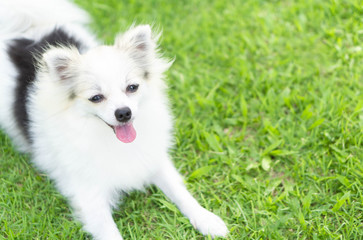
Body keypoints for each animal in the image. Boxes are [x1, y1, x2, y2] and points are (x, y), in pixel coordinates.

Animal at [0, 0, 228, 239]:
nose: (123, 112)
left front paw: (206, 218)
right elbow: (110, 232)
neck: (111, 140)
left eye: (132, 87)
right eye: (96, 98)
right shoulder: (89, 195)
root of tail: (26, 28)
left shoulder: (152, 160)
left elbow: (180, 192)